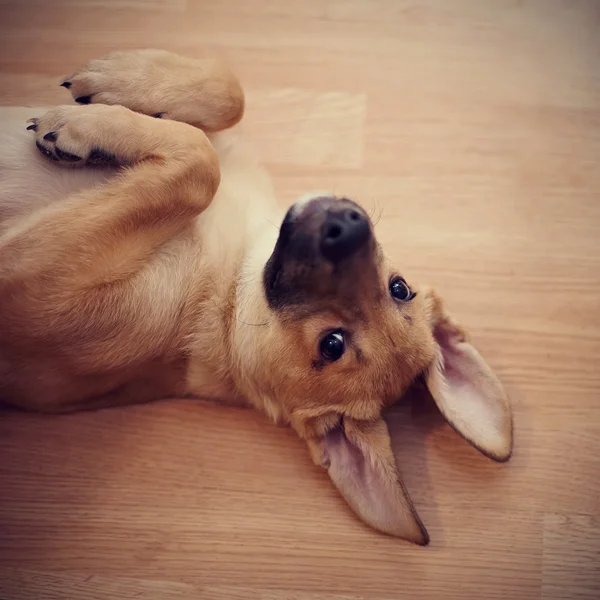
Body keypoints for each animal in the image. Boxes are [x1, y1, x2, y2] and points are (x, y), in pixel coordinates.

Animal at [0, 49, 512, 548]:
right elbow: (230, 96)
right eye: (399, 288)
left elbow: (200, 165)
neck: (228, 296)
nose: (345, 225)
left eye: (332, 345)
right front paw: (121, 79)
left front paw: (87, 128)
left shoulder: (33, 283)